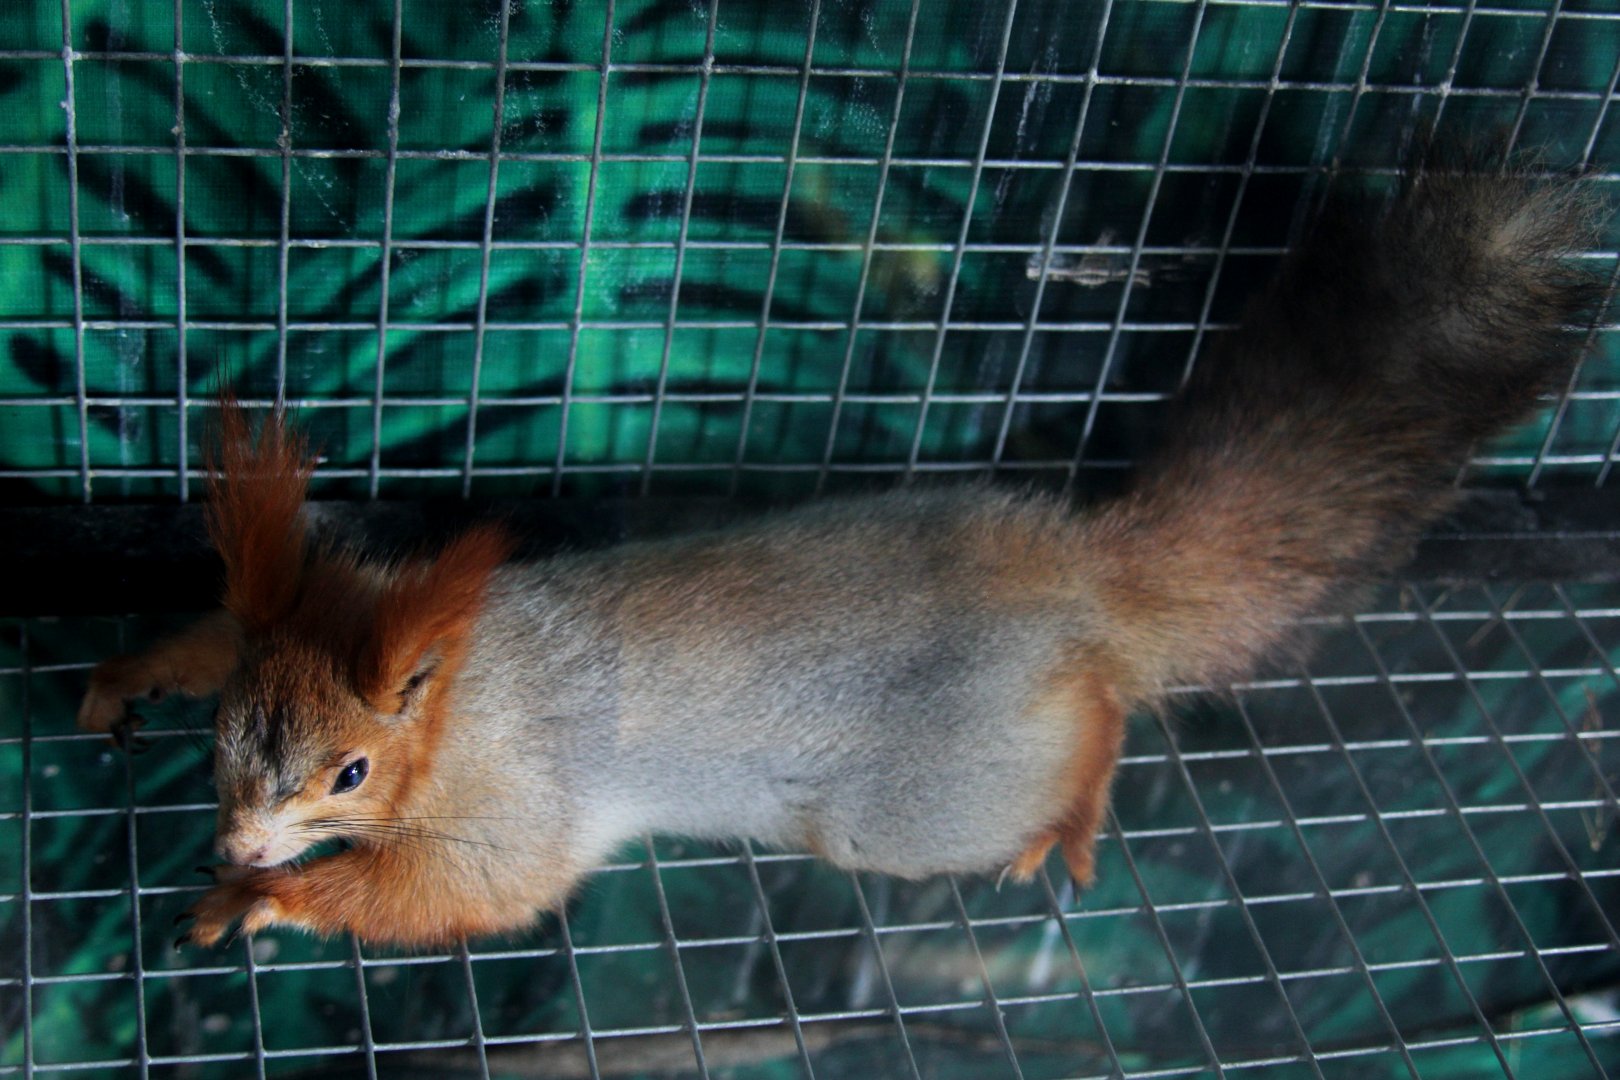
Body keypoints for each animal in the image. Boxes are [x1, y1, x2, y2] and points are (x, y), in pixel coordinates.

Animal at [77, 161, 1601, 950]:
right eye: (228, 726)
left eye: (350, 772)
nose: (235, 832)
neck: (448, 682)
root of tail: (1077, 582)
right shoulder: (338, 573)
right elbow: (214, 628)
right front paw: (126, 678)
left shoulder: (515, 805)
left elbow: (459, 893)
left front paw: (264, 898)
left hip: (929, 800)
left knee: (1102, 716)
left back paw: (1076, 815)